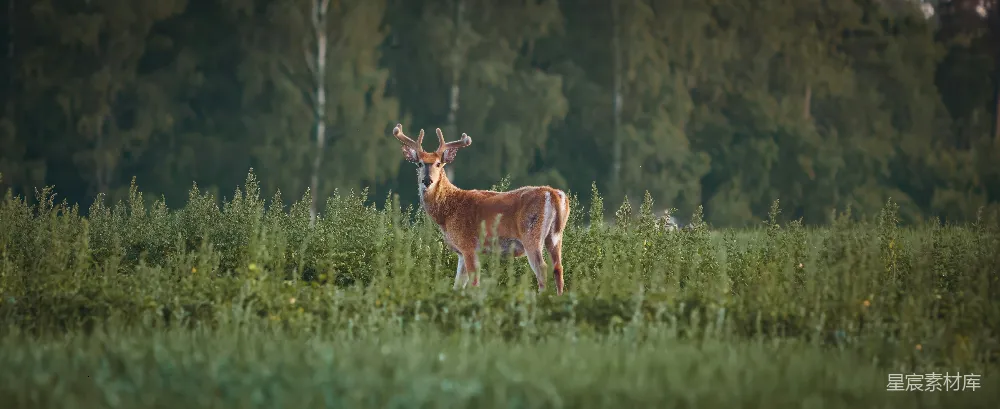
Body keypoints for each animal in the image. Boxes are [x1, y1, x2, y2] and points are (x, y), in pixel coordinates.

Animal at [391, 123, 570, 295]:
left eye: (438, 163)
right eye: (419, 163)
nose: (427, 181)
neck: (446, 215)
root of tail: (553, 193)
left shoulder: (468, 245)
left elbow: (474, 284)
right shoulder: (461, 252)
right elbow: (457, 286)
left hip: (531, 233)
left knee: (542, 268)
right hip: (555, 236)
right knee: (558, 268)